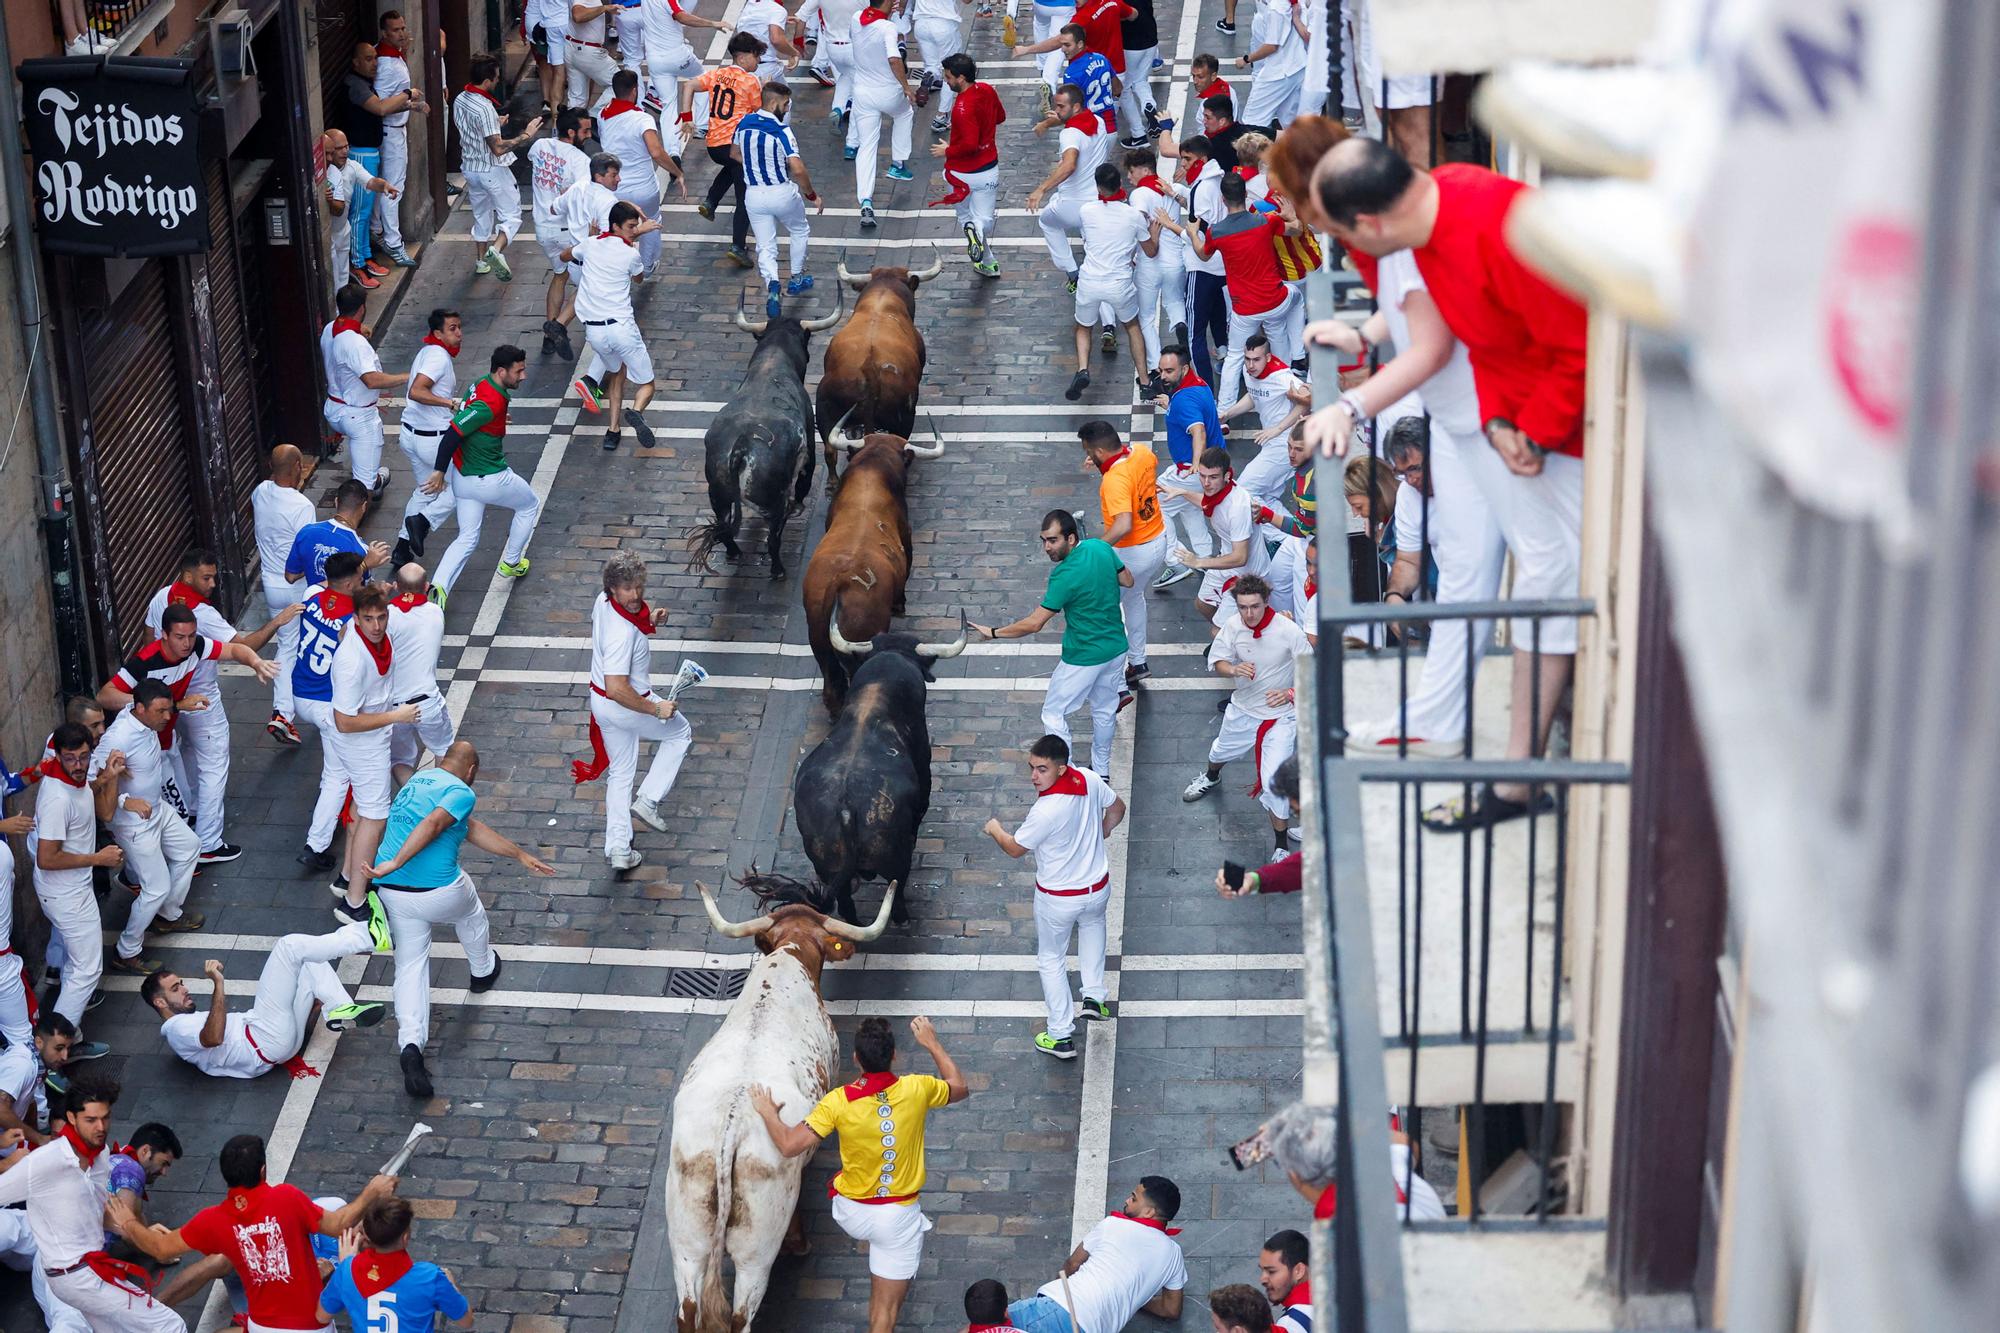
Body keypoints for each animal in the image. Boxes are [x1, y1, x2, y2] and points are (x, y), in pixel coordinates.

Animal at [668, 872, 896, 1328]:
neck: (786, 963)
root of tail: (730, 1130)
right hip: (755, 1254)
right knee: (741, 1315)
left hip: (686, 1244)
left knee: (687, 1310)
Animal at [688, 294, 844, 572]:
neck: (772, 361)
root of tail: (741, 448)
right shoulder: (810, 446)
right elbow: (804, 482)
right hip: (774, 501)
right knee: (773, 538)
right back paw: (778, 570)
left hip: (717, 496)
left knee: (725, 531)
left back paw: (734, 553)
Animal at [784, 612, 964, 924]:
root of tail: (845, 808)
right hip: (896, 857)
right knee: (897, 889)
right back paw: (902, 918)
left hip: (826, 867)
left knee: (845, 904)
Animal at [800, 430, 948, 712]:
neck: (871, 471)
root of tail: (840, 581)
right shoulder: (907, 537)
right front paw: (900, 605)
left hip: (818, 642)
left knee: (832, 689)